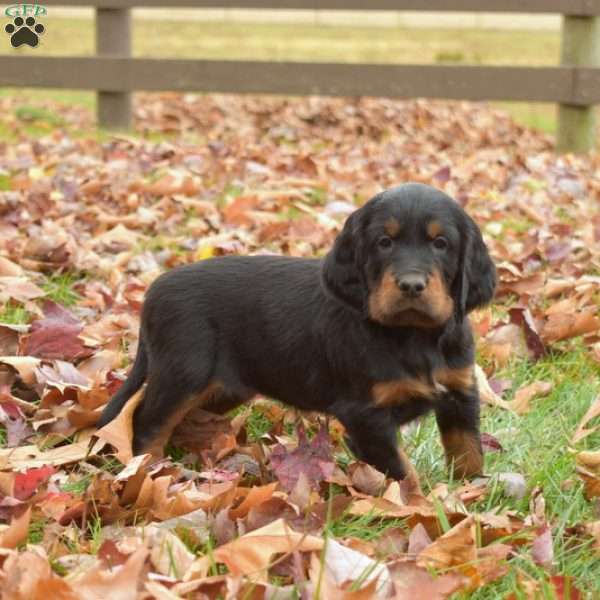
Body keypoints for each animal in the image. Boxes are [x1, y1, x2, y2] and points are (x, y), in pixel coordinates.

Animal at [97, 183, 496, 482]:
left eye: (441, 244)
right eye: (385, 242)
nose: (412, 285)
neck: (413, 335)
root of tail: (153, 291)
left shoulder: (460, 392)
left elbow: (468, 450)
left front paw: (471, 497)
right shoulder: (364, 415)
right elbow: (402, 471)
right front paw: (422, 505)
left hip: (223, 387)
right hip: (184, 372)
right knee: (146, 422)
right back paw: (151, 470)